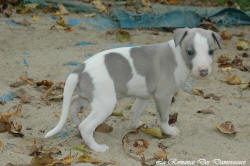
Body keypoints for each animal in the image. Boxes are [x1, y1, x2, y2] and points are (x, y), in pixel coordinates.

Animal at [44, 27, 221, 152]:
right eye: (190, 52)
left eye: (211, 51)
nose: (204, 71)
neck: (177, 54)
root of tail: (79, 69)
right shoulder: (163, 96)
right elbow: (163, 118)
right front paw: (169, 131)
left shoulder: (144, 96)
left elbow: (135, 111)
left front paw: (137, 125)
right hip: (105, 104)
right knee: (86, 126)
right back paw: (97, 147)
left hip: (89, 96)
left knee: (74, 103)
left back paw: (76, 123)